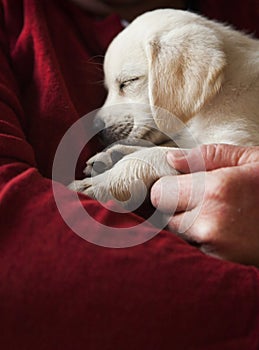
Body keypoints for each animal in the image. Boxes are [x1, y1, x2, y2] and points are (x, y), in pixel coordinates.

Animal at [70, 9, 259, 209]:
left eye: (128, 81)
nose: (95, 128)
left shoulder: (236, 143)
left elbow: (154, 155)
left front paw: (101, 182)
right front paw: (114, 155)